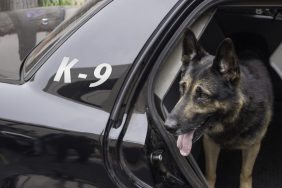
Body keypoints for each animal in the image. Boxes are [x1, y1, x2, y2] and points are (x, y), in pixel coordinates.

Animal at [164, 28, 272, 188]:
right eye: (182, 87)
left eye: (202, 95)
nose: (167, 127)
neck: (233, 117)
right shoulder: (210, 143)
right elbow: (210, 173)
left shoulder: (253, 146)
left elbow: (245, 174)